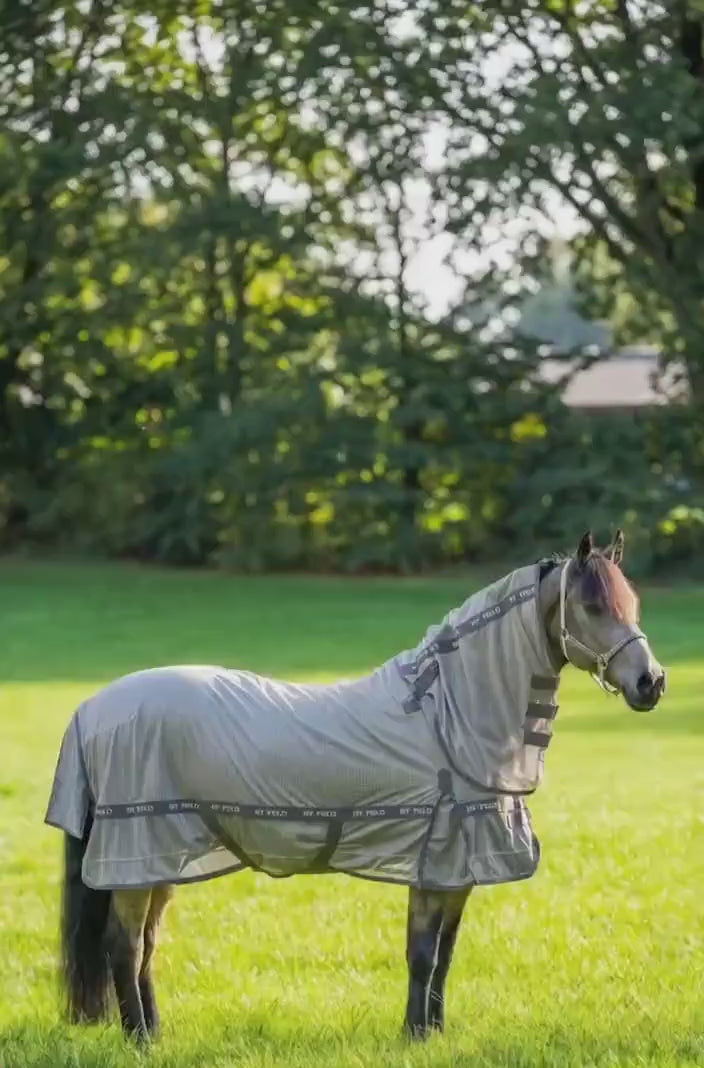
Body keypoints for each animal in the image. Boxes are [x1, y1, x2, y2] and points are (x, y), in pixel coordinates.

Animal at [45, 530, 665, 1043]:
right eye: (592, 606)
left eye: (633, 605)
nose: (651, 683)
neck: (449, 718)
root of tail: (92, 707)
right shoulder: (434, 863)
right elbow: (422, 954)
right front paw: (415, 1036)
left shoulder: (460, 872)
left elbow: (445, 954)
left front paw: (434, 1031)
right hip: (137, 850)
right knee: (123, 946)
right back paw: (140, 1039)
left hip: (160, 858)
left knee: (145, 947)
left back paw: (154, 1031)